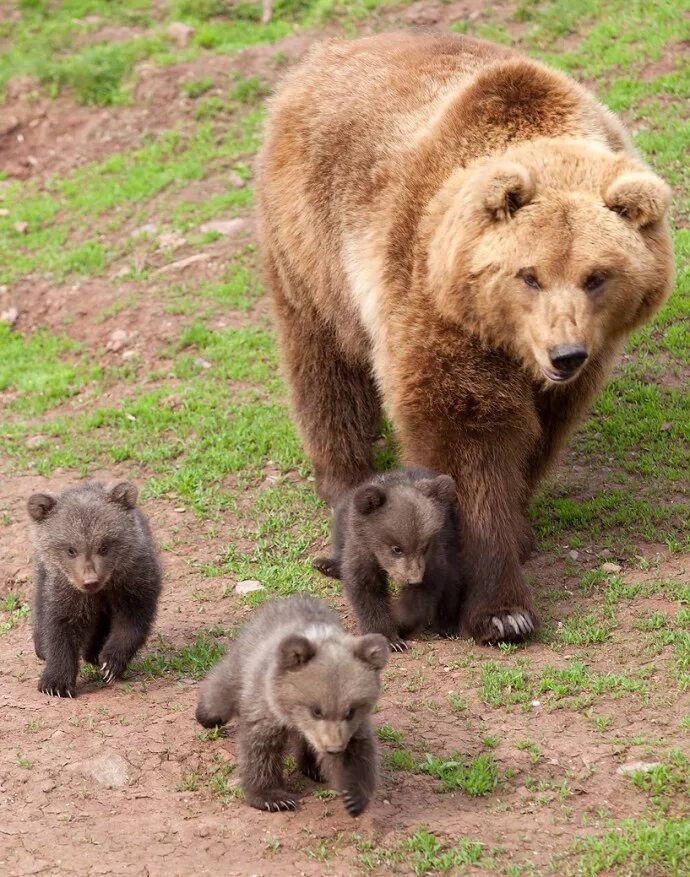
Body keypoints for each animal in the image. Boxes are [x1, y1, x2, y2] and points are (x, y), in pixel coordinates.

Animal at [254, 30, 672, 644]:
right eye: (529, 274)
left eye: (596, 276)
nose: (564, 354)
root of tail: (326, 53)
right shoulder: (434, 305)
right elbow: (468, 444)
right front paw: (501, 611)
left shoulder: (580, 362)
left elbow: (540, 435)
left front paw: (519, 533)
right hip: (311, 245)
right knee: (324, 365)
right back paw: (344, 480)